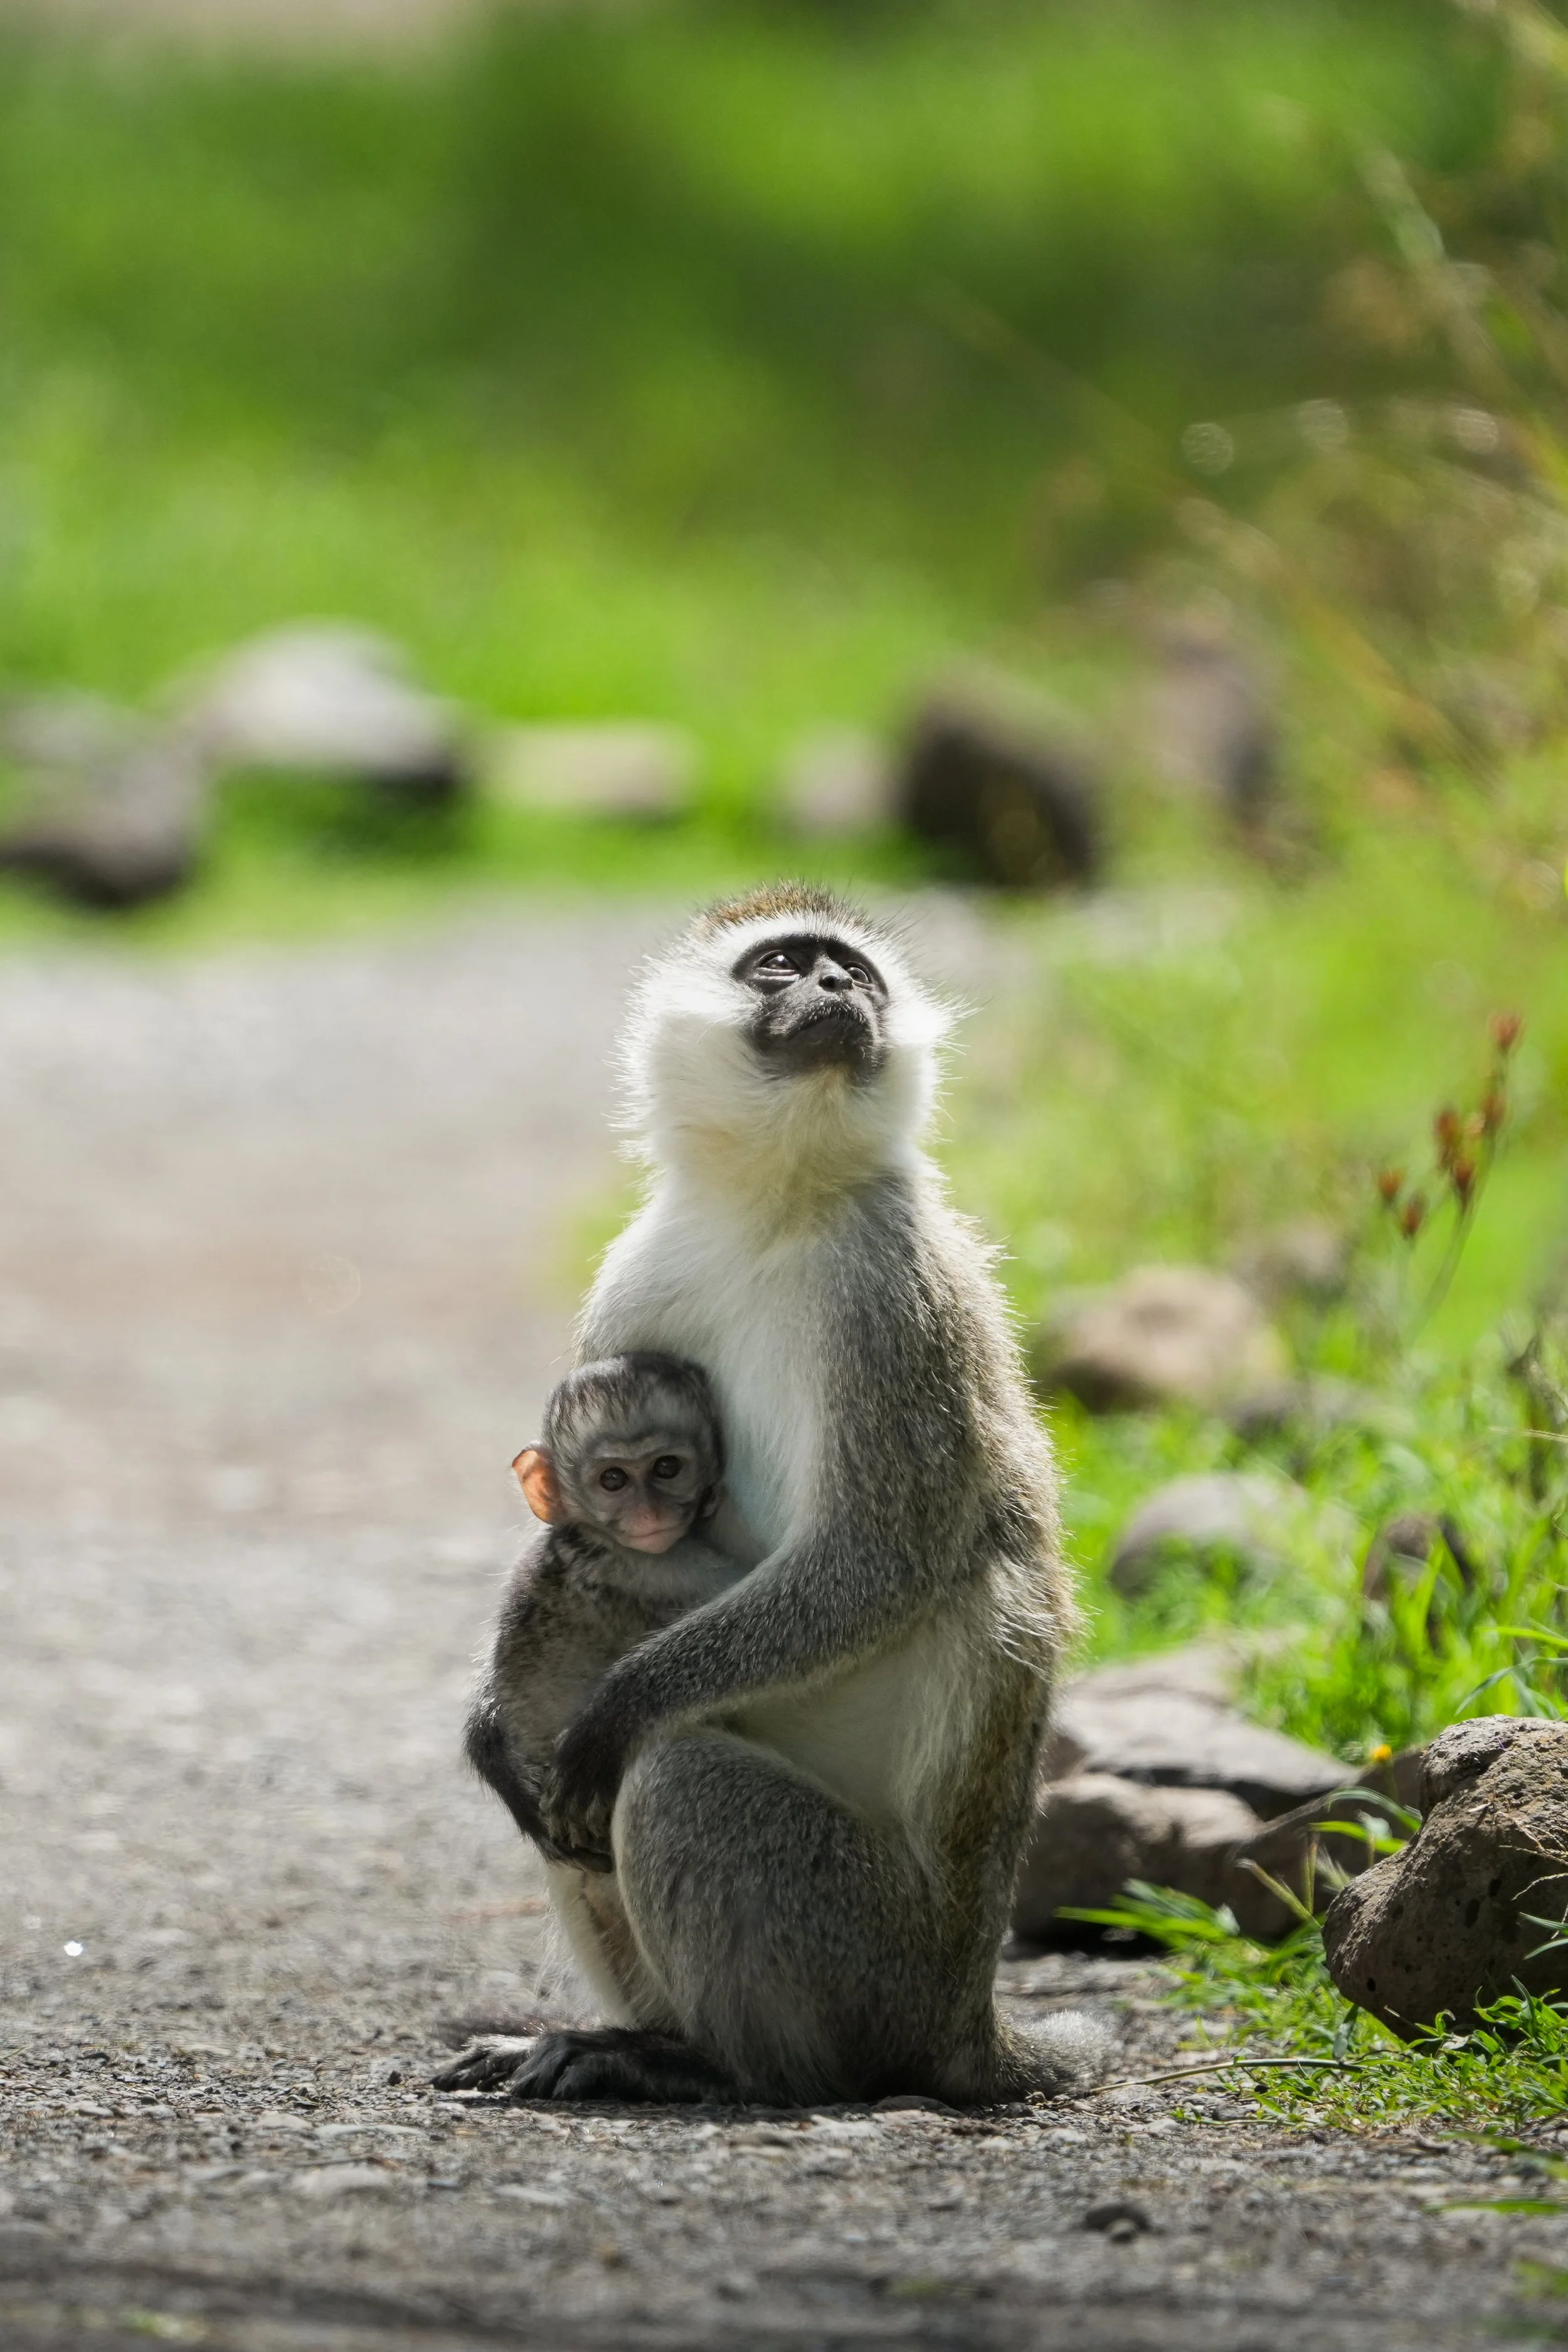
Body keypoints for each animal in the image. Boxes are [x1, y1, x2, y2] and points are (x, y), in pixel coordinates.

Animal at [438, 884, 1104, 2110]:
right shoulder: (638, 1272)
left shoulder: (894, 1294)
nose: (839, 990)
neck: (772, 1206)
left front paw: (627, 1701)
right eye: (785, 965)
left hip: (869, 1949)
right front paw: (486, 1731)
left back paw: (708, 2062)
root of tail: (966, 2017)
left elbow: (877, 1561)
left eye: (856, 974)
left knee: (675, 1780)